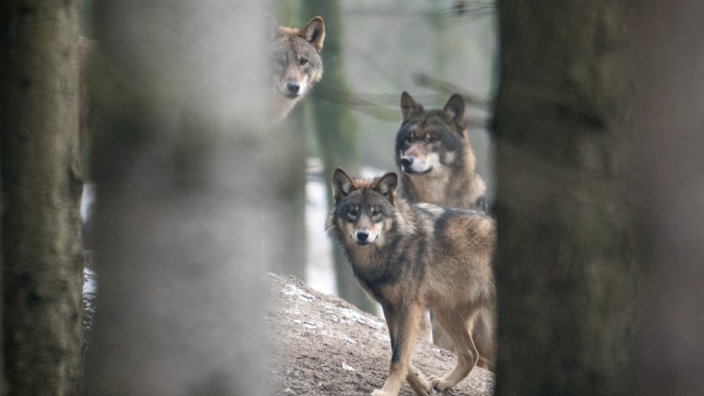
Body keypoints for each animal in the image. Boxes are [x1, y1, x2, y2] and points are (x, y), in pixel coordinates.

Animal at [326, 167, 496, 396]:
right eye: (352, 212)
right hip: (446, 314)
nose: (362, 235)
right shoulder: (390, 307)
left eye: (375, 212)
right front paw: (421, 385)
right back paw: (443, 382)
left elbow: (398, 357)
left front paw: (387, 392)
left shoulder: (410, 306)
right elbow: (398, 351)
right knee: (471, 354)